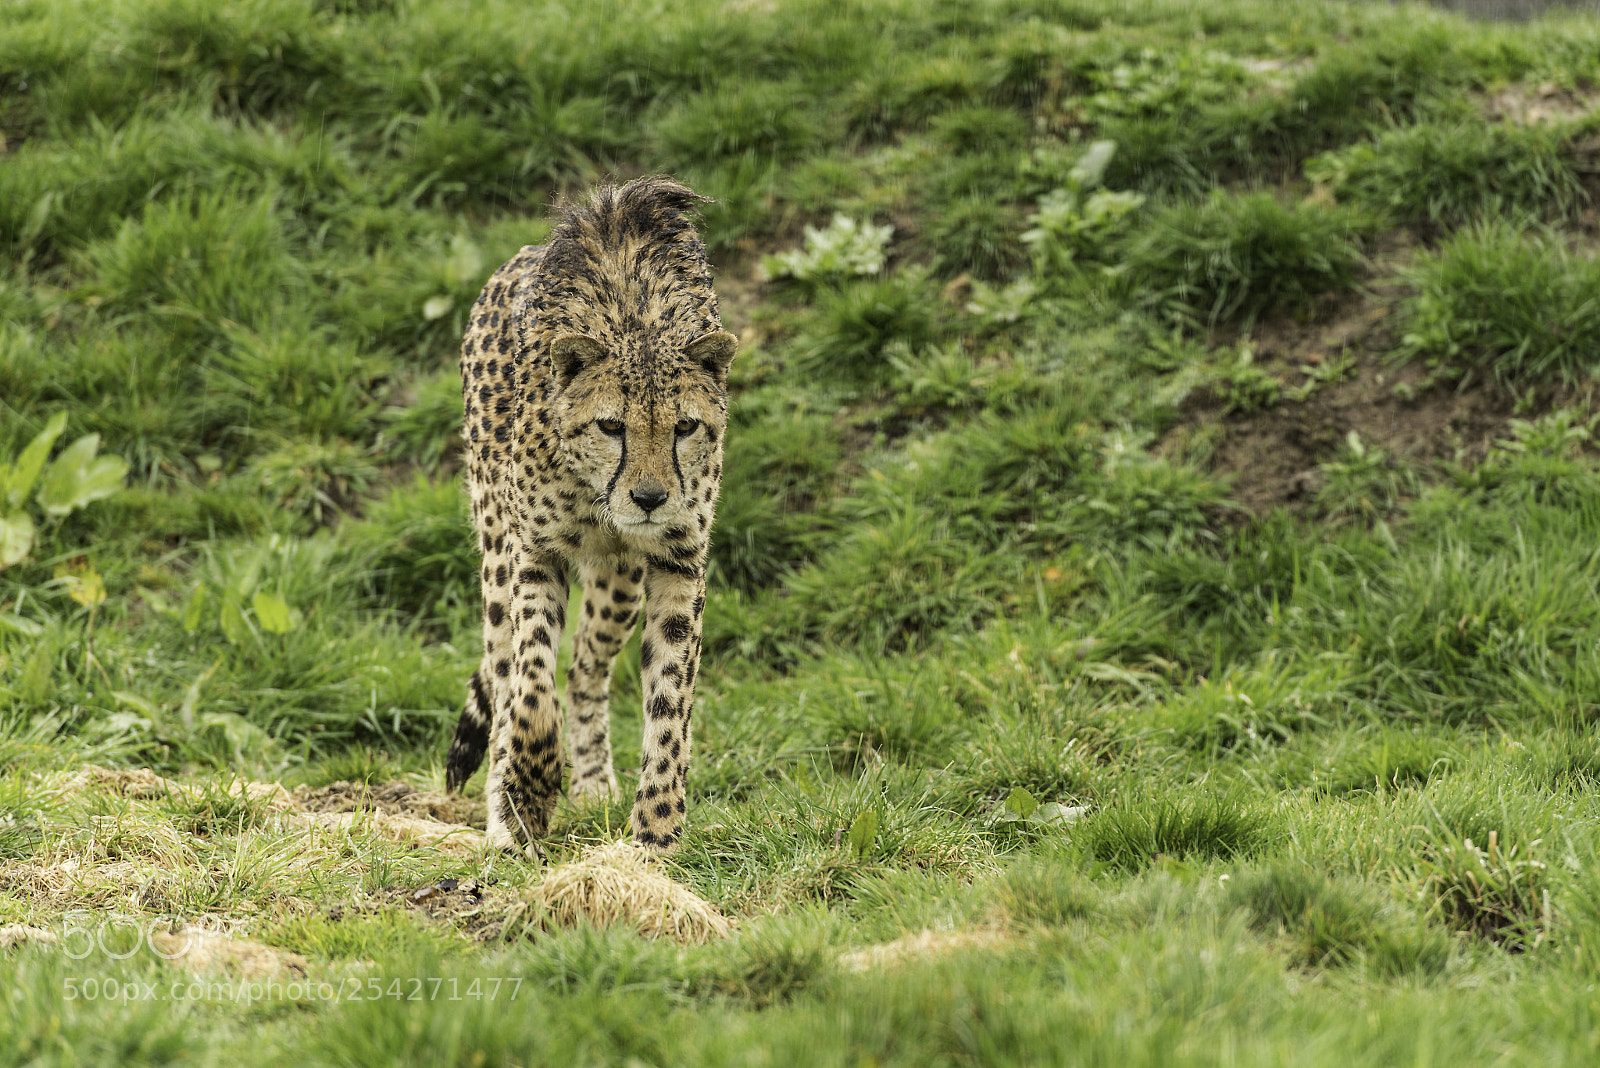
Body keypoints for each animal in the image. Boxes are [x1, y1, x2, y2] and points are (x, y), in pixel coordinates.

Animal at [441, 176, 738, 856]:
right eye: (611, 426)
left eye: (685, 427)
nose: (650, 498)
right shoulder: (535, 552)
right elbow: (529, 681)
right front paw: (527, 787)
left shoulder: (678, 559)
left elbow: (670, 699)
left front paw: (656, 831)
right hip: (495, 547)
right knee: (507, 670)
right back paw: (505, 811)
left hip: (620, 583)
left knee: (584, 666)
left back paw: (594, 782)